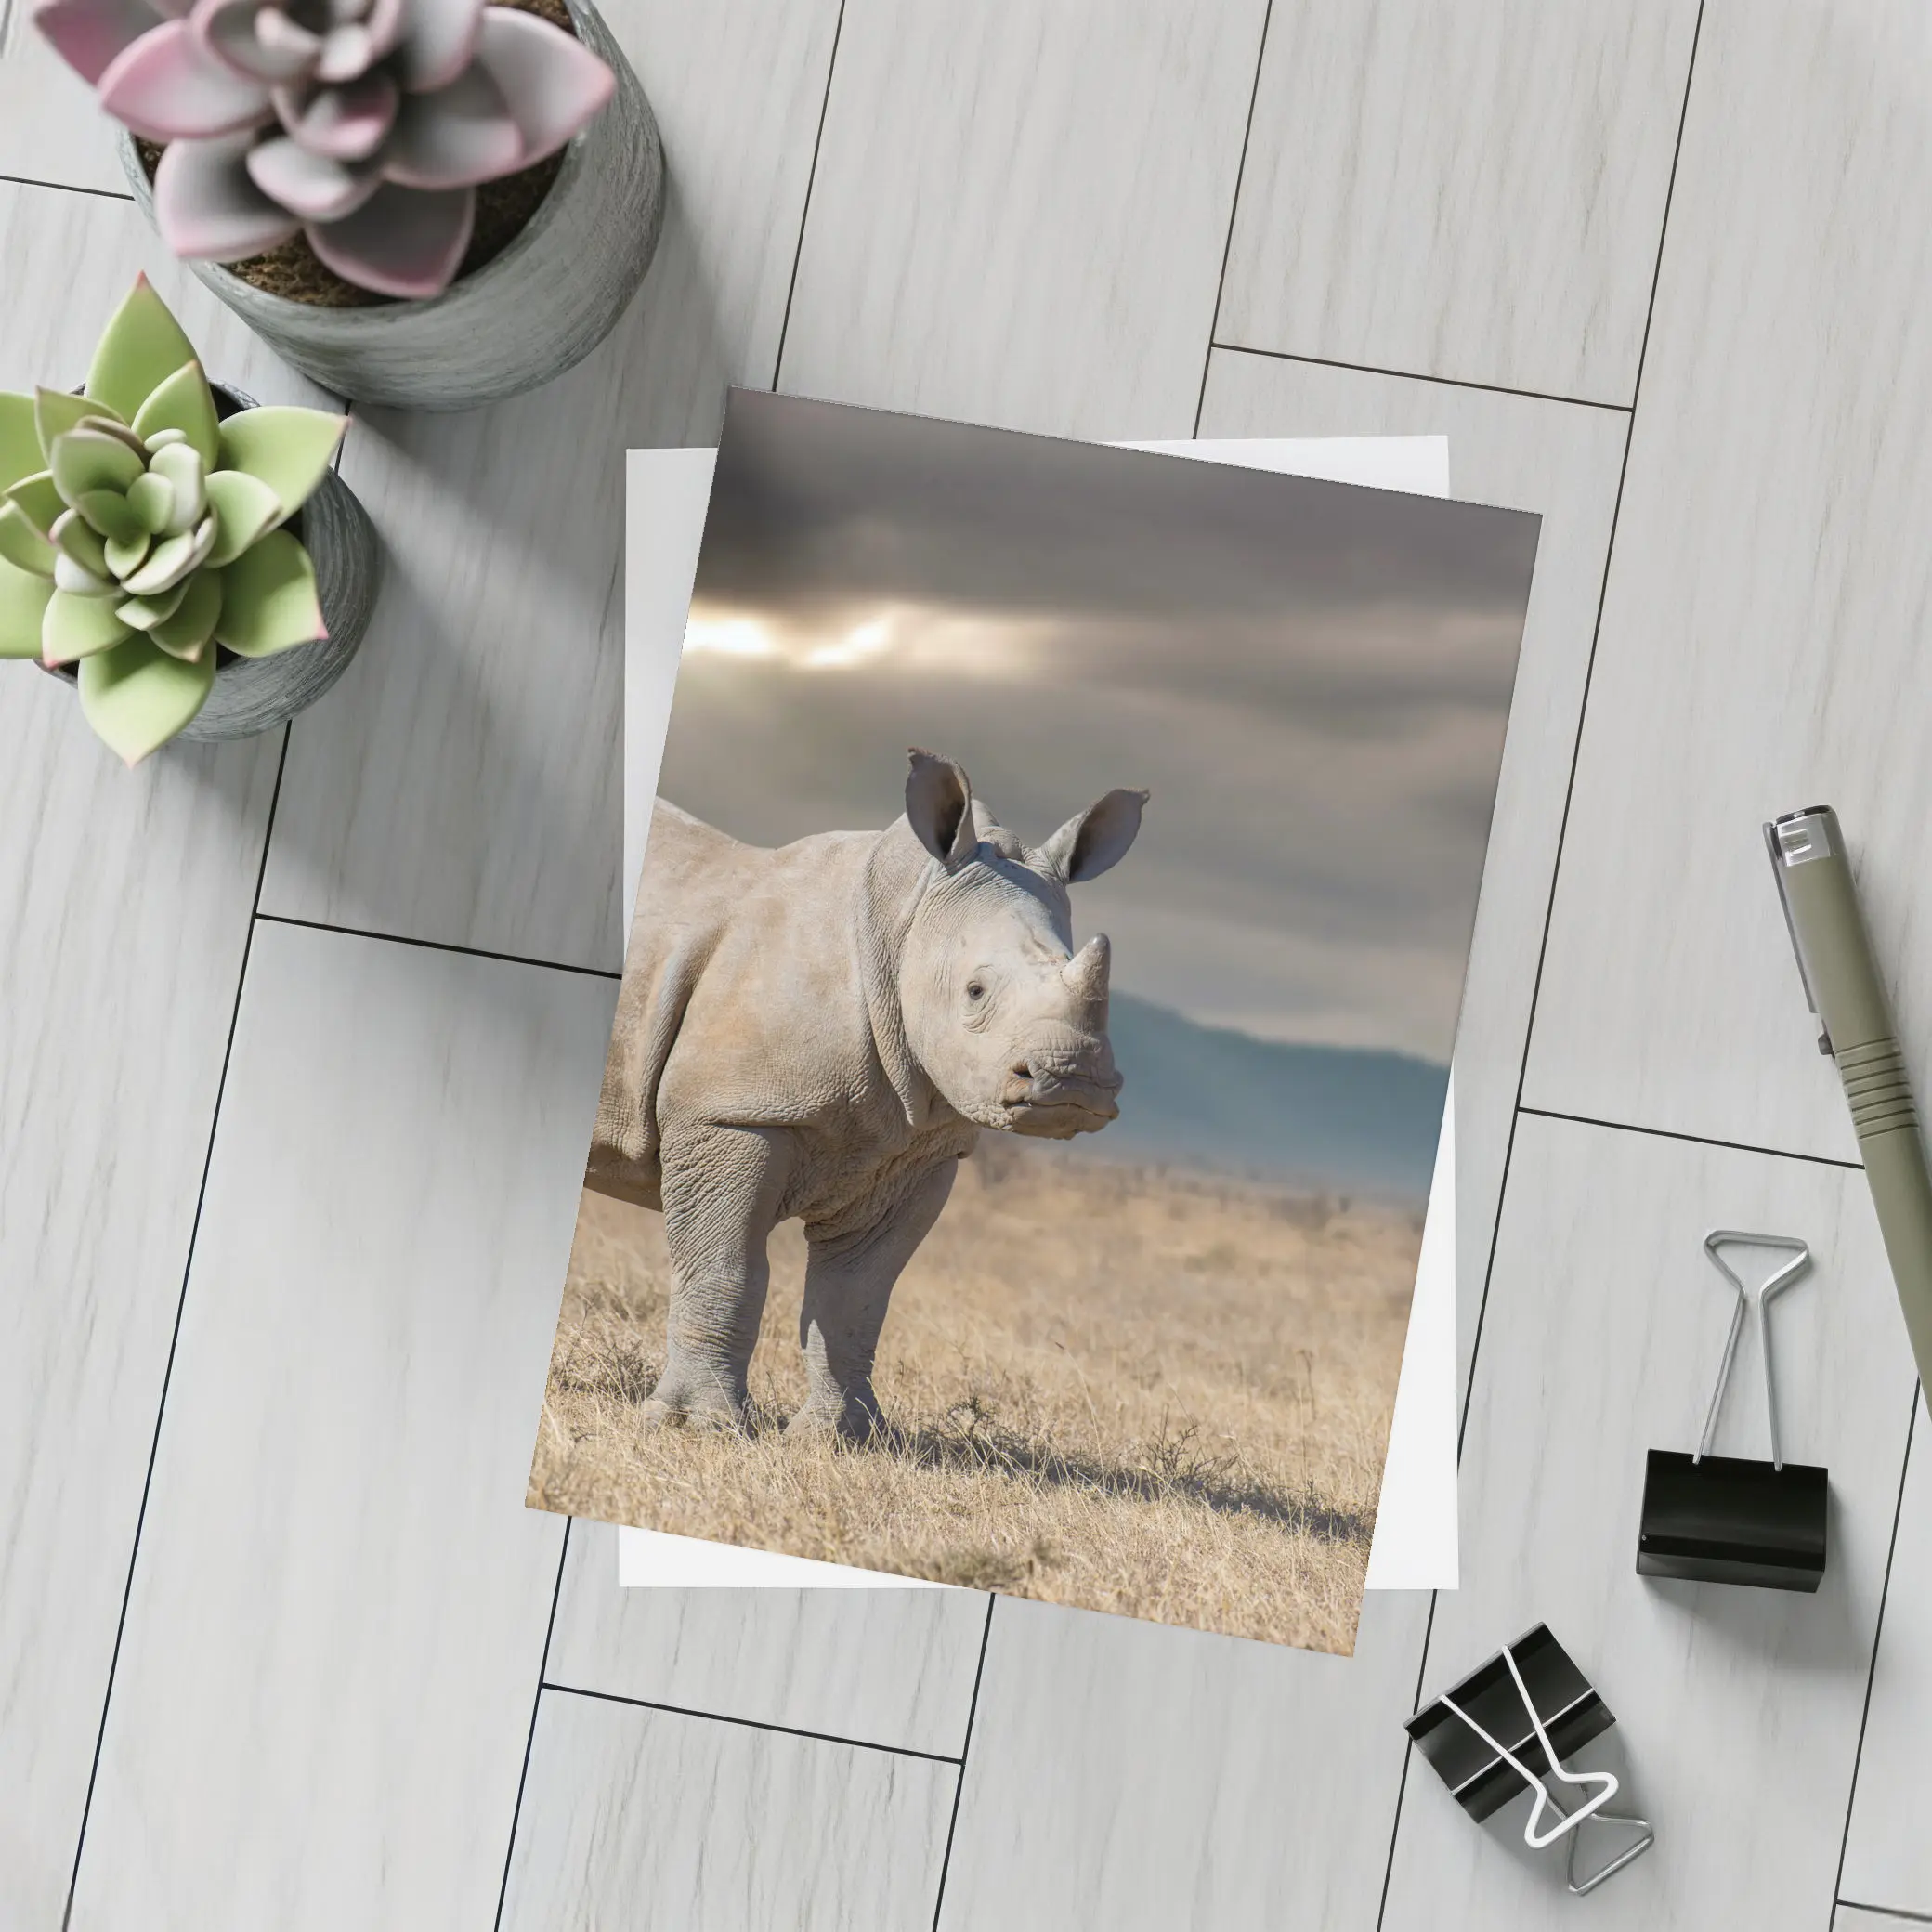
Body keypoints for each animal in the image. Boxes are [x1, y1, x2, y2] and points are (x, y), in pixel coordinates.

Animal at [585, 747, 1147, 1439]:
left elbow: (856, 1297)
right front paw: (696, 1426)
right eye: (975, 992)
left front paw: (840, 1439)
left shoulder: (914, 1150)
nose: (1072, 1080)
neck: (904, 925)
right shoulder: (731, 1114)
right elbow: (727, 1271)